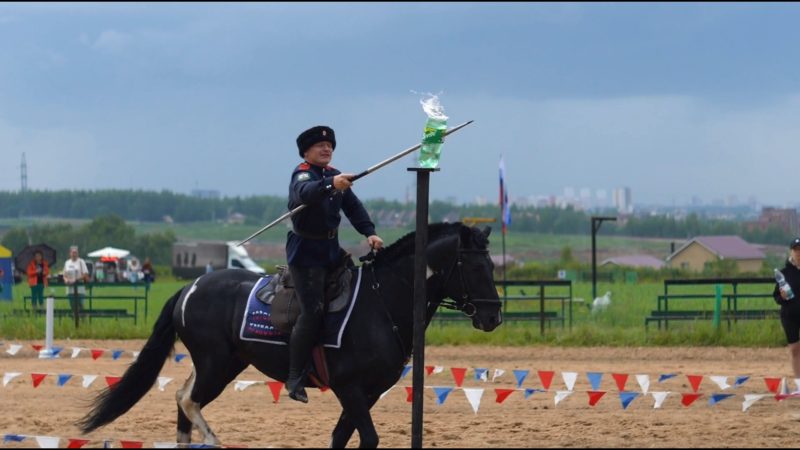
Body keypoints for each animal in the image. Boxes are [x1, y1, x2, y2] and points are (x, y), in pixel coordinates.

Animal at [75, 223, 500, 448]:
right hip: (217, 365)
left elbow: (340, 437)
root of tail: (190, 287)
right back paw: (213, 439)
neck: (382, 302)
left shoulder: (368, 392)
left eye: (492, 265)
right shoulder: (350, 388)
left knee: (182, 399)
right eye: (475, 267)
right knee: (188, 400)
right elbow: (367, 438)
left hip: (221, 363)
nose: (493, 316)